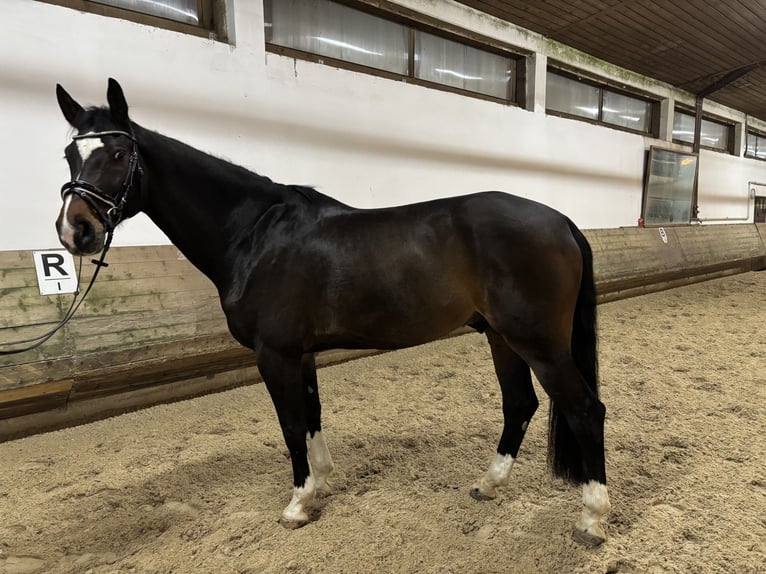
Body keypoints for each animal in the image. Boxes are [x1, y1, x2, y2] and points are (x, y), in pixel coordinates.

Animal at [55, 80, 612, 548]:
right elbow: (312, 416)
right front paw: (319, 486)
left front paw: (297, 505)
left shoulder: (274, 354)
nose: (75, 230)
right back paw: (487, 485)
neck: (256, 234)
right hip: (501, 336)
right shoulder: (300, 354)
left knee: (585, 409)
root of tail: (561, 220)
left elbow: (289, 425)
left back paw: (591, 519)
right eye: (68, 154)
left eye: (120, 153)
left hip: (537, 342)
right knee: (520, 405)